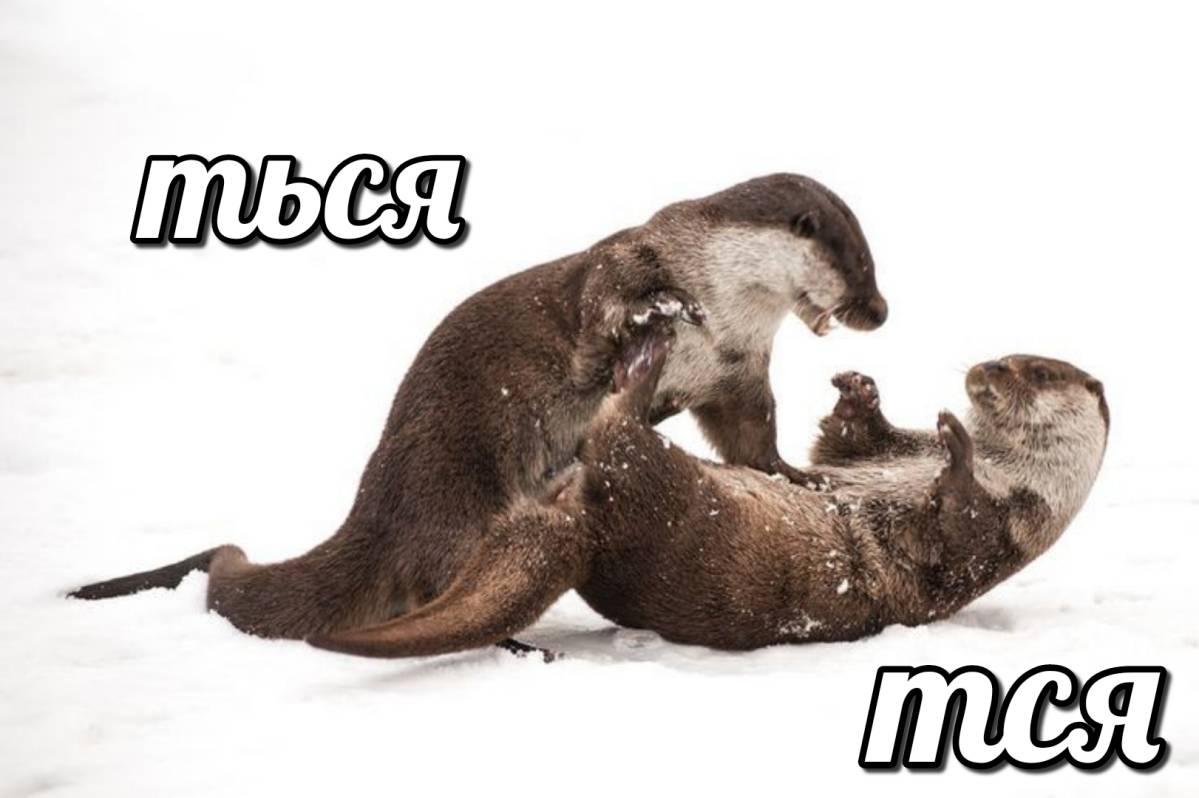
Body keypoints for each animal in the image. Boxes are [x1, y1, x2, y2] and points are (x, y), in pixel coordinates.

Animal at [70, 174, 886, 649]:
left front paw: (799, 476)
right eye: (858, 262)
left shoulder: (735, 373)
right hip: (458, 489)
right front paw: (658, 310)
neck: (724, 305)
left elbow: (750, 440)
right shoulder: (623, 262)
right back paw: (516, 642)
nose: (878, 311)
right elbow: (604, 304)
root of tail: (379, 509)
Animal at [304, 324, 1107, 658]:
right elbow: (838, 446)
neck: (1017, 481)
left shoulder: (1000, 531)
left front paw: (958, 443)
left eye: (1037, 372)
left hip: (657, 485)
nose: (985, 371)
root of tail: (588, 535)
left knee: (617, 431)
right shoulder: (876, 455)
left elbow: (951, 527)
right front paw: (861, 391)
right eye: (1003, 354)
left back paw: (645, 364)